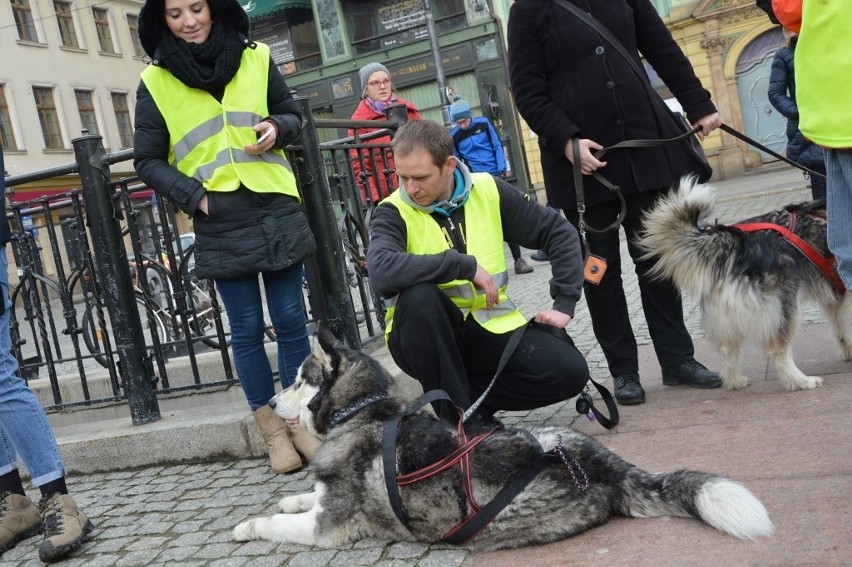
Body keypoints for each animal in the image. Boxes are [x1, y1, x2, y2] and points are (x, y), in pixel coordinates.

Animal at [233, 328, 772, 552]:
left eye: (298, 380)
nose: (271, 404)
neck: (361, 413)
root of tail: (601, 466)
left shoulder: (329, 529)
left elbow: (278, 524)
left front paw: (246, 526)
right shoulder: (325, 501)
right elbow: (304, 498)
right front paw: (290, 497)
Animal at [644, 178, 848, 390]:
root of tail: (735, 244)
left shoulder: (836, 296)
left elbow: (841, 329)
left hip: (731, 312)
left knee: (727, 349)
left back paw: (736, 381)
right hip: (786, 305)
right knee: (778, 349)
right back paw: (801, 381)